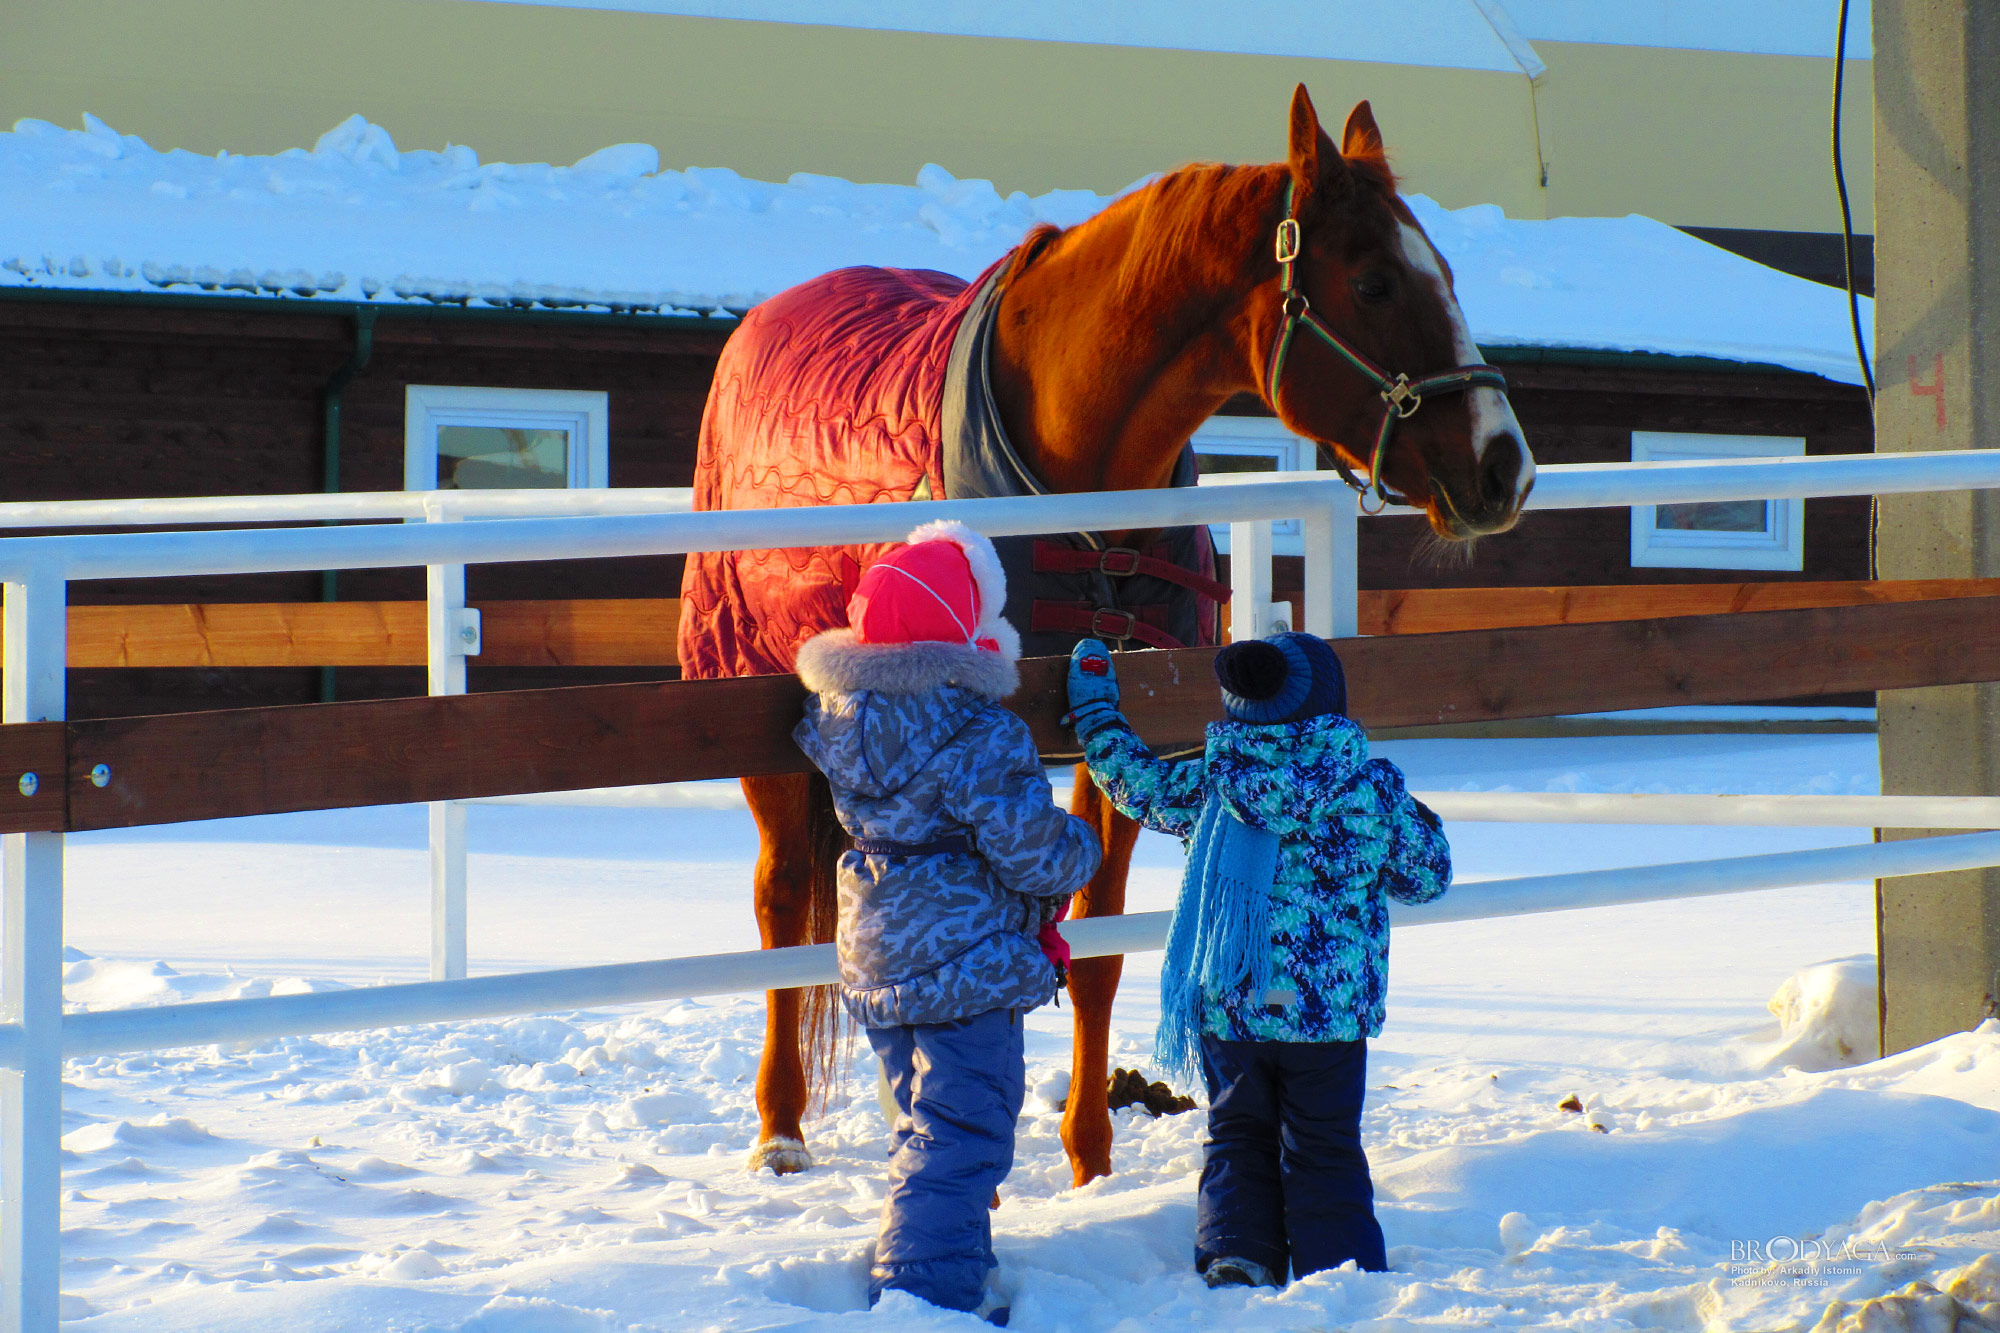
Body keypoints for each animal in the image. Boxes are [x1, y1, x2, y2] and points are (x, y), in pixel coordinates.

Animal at [677, 85, 1534, 1186]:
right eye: (1375, 281)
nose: (1504, 468)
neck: (1076, 484)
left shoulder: (1124, 736)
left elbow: (1095, 950)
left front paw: (1088, 1161)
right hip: (748, 707)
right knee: (784, 903)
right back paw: (780, 1130)